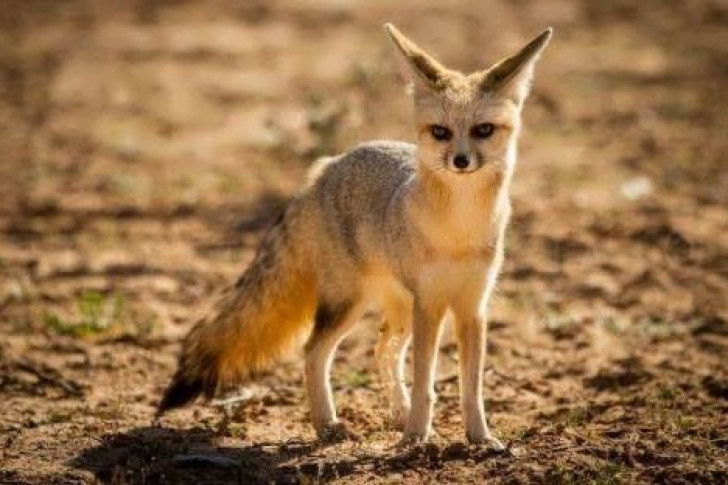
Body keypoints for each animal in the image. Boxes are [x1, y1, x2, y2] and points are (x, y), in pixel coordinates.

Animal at [158, 24, 552, 447]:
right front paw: (416, 439)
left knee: (382, 352)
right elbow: (426, 383)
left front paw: (478, 438)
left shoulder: (472, 306)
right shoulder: (431, 304)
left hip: (399, 308)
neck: (458, 232)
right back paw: (328, 424)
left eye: (483, 130)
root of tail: (327, 165)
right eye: (441, 132)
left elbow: (471, 387)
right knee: (314, 351)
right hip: (351, 303)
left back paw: (395, 413)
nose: (461, 161)